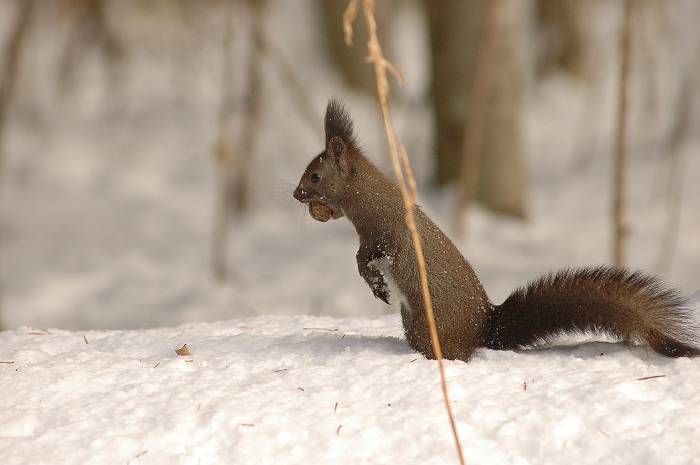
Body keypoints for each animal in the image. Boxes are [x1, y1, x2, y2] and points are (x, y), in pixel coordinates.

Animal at [294, 100, 700, 362]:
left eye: (315, 176)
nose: (296, 194)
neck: (368, 201)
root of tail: (484, 328)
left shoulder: (385, 236)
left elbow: (366, 257)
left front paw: (376, 285)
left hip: (430, 326)